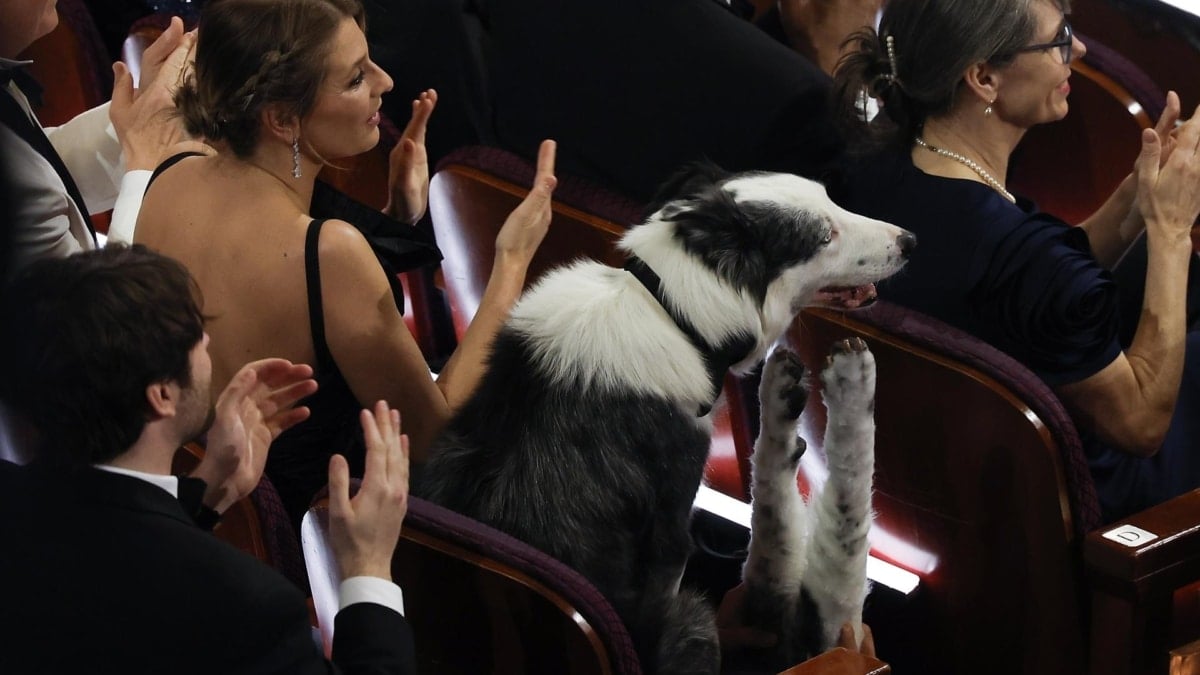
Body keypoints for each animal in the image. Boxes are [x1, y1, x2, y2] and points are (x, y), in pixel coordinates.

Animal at [417, 162, 912, 667]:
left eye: (831, 199)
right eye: (825, 235)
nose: (910, 240)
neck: (671, 312)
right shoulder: (671, 543)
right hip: (699, 618)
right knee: (828, 562)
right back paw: (849, 384)